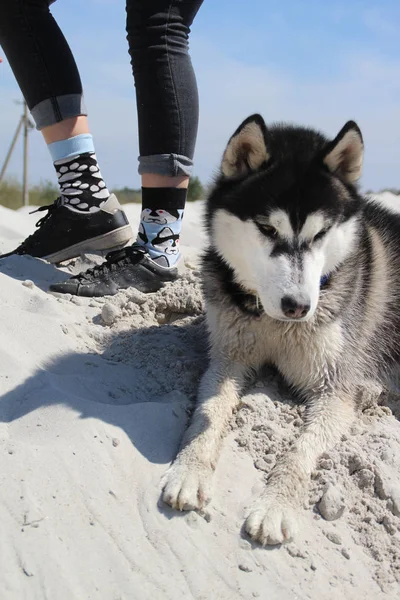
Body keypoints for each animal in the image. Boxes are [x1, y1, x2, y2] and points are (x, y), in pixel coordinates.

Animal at [162, 115, 400, 548]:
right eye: (267, 230)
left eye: (321, 234)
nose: (299, 307)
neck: (275, 323)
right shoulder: (228, 357)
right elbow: (210, 409)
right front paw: (189, 469)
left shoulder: (335, 388)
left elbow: (300, 450)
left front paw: (276, 505)